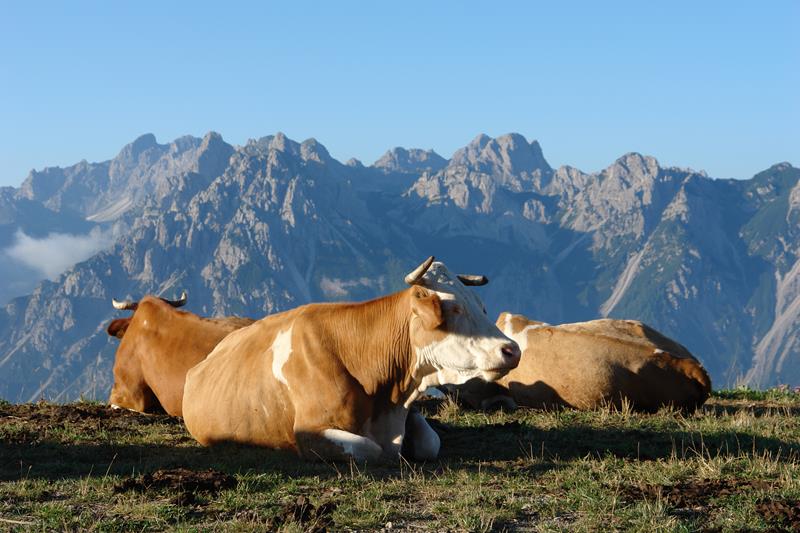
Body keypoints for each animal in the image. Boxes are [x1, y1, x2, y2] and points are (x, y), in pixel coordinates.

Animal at [180, 258, 520, 462]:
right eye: (453, 308)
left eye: (480, 306)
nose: (512, 349)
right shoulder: (309, 432)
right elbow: (370, 449)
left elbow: (429, 442)